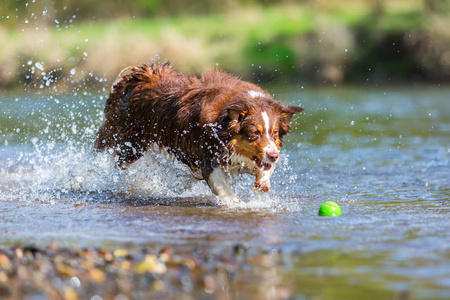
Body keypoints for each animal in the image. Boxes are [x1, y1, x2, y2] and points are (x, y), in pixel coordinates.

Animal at [96, 63, 306, 203]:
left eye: (275, 133)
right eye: (254, 133)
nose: (274, 155)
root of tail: (139, 74)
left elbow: (263, 169)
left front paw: (262, 181)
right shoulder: (208, 155)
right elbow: (222, 187)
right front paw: (236, 204)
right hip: (131, 145)